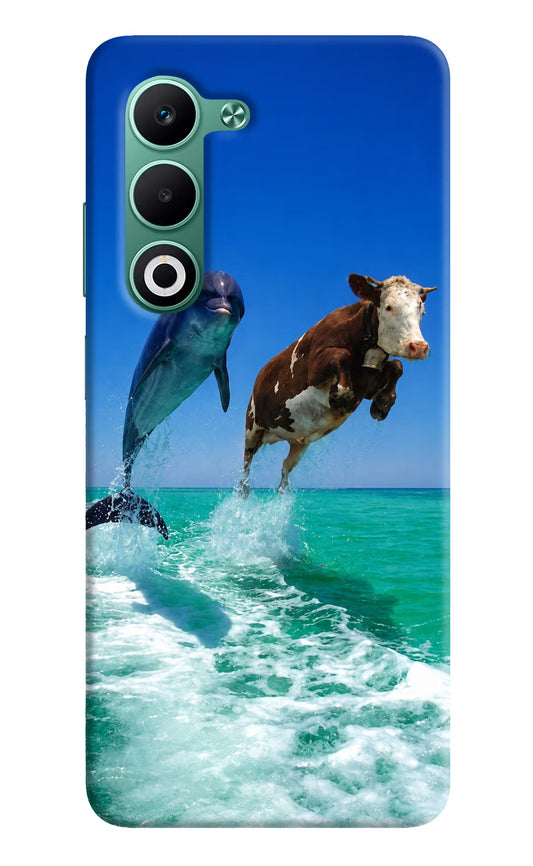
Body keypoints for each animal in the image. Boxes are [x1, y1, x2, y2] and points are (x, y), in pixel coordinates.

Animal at [239, 273, 437, 495]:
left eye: (422, 310)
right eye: (388, 307)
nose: (418, 347)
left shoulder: (368, 383)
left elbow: (397, 365)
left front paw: (383, 403)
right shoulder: (314, 369)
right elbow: (342, 355)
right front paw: (341, 396)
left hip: (299, 442)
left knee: (285, 467)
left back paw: (283, 493)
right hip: (252, 426)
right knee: (246, 463)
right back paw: (243, 491)